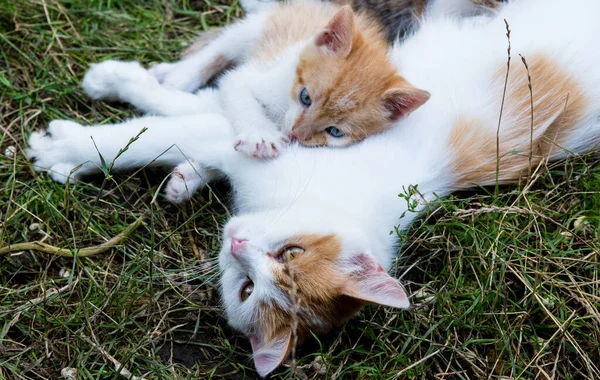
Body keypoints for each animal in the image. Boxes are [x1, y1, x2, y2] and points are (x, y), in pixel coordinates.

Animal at [84, 0, 432, 159]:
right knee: (220, 47)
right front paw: (260, 136)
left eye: (334, 132)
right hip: (259, 28)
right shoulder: (251, 76)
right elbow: (239, 93)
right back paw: (178, 75)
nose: (294, 135)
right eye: (305, 97)